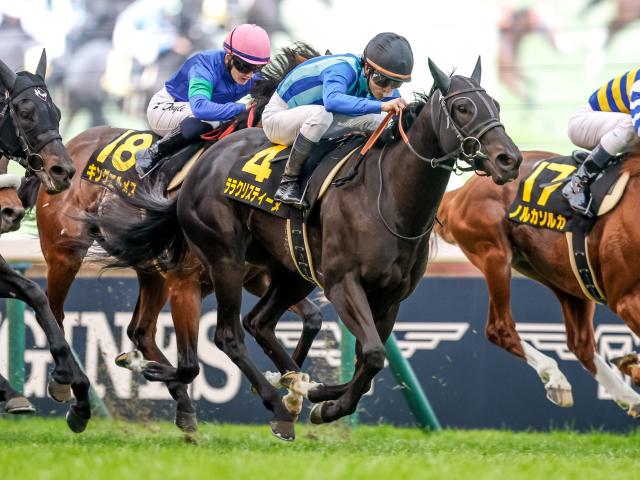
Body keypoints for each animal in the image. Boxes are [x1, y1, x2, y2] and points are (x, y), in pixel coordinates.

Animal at [17, 44, 322, 433]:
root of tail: (61, 151)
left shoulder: (254, 275)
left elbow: (311, 318)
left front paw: (291, 383)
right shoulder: (188, 280)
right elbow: (197, 358)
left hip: (153, 272)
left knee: (141, 331)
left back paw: (181, 404)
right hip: (65, 253)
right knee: (54, 311)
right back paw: (65, 383)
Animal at [88, 57, 522, 440]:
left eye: (497, 106)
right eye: (463, 108)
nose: (510, 159)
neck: (389, 199)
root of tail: (202, 164)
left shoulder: (390, 297)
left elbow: (368, 360)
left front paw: (320, 398)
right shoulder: (343, 283)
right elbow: (373, 354)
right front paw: (322, 404)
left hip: (290, 271)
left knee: (258, 322)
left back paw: (291, 385)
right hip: (225, 260)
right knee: (228, 334)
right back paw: (274, 403)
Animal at [436, 148, 640, 417]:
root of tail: (461, 192)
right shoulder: (627, 299)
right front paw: (631, 366)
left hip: (565, 278)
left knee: (580, 344)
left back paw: (630, 397)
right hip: (495, 255)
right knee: (499, 328)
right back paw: (556, 377)